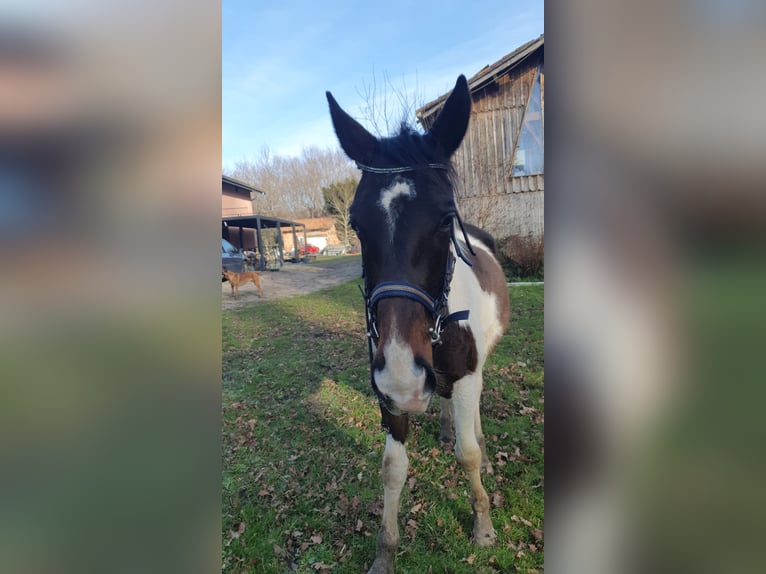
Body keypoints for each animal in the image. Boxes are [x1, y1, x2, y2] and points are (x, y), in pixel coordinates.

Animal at [326, 74, 510, 572]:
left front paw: (483, 527)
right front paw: (385, 553)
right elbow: (392, 469)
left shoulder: (464, 375)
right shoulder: (388, 394)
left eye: (446, 219)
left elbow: (468, 455)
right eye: (356, 224)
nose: (405, 377)